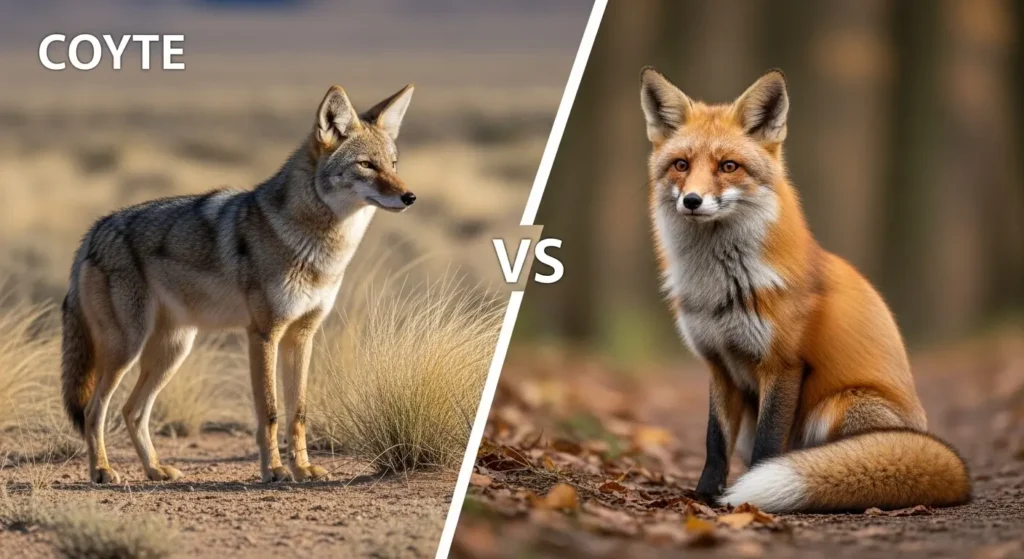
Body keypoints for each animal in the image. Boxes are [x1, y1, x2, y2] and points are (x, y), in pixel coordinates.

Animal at [61, 83, 417, 484]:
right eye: (366, 165)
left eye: (393, 164)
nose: (409, 197)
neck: (320, 249)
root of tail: (95, 230)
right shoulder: (263, 334)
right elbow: (270, 413)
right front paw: (274, 470)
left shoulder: (302, 336)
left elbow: (298, 413)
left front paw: (302, 468)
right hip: (127, 350)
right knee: (94, 411)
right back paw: (102, 471)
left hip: (172, 351)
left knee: (132, 411)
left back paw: (154, 469)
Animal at [638, 67, 971, 513]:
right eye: (680, 165)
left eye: (728, 166)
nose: (692, 200)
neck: (721, 288)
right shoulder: (718, 364)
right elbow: (714, 442)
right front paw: (706, 495)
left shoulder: (783, 364)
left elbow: (767, 445)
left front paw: (746, 499)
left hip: (840, 406)